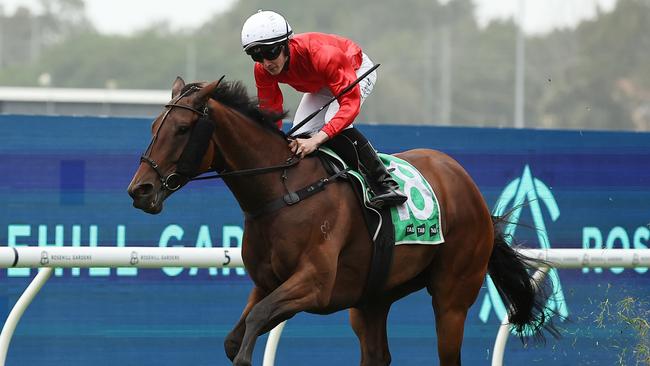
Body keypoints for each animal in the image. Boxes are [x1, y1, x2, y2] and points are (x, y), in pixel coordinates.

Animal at [128, 77, 556, 366]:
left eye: (182, 129)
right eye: (152, 128)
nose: (140, 190)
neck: (282, 190)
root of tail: (467, 184)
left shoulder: (315, 284)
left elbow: (258, 322)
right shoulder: (267, 282)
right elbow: (237, 336)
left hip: (452, 294)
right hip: (372, 299)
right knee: (377, 354)